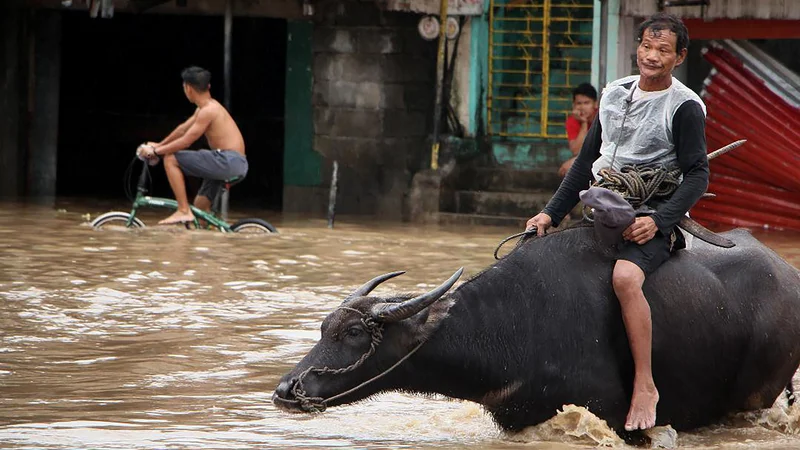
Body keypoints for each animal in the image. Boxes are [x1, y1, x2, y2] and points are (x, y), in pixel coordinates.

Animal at [274, 227, 800, 434]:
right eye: (323, 328)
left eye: (354, 335)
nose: (285, 390)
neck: (514, 324)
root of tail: (787, 273)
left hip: (755, 395)